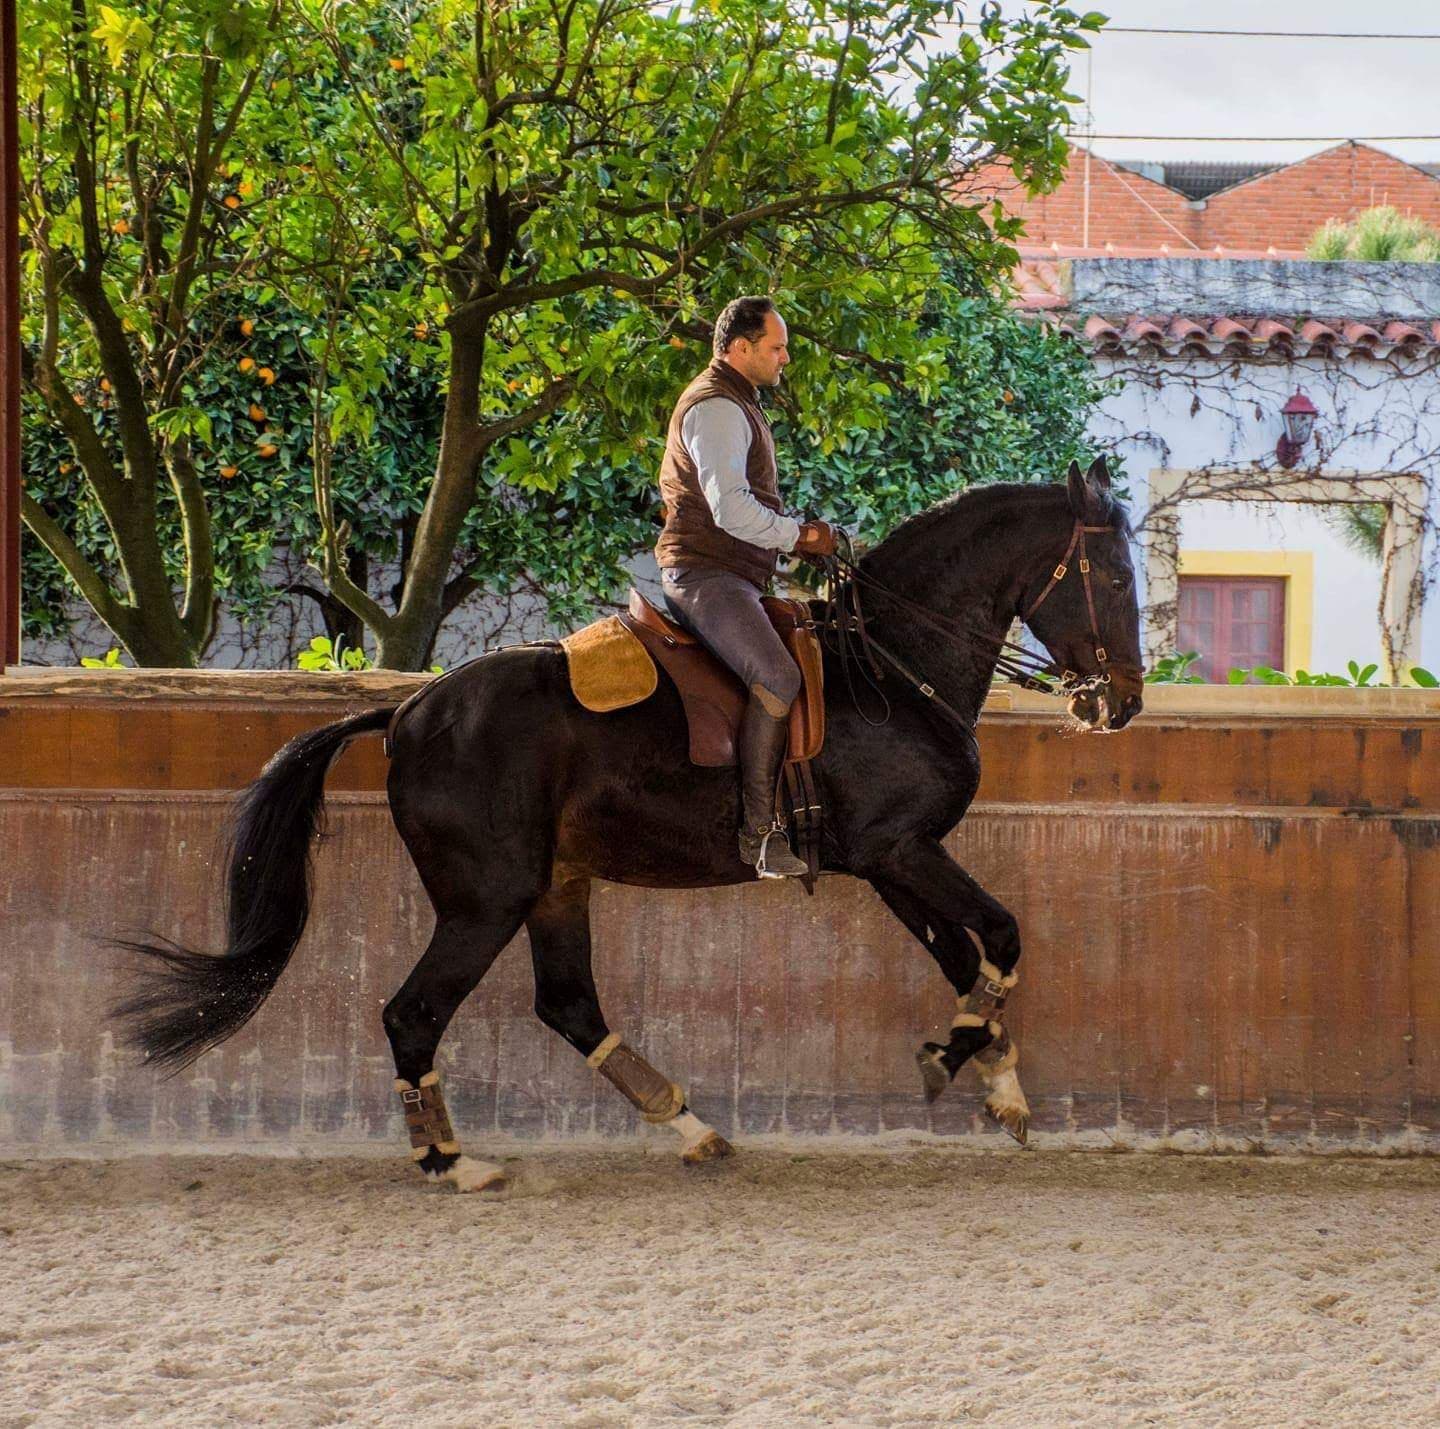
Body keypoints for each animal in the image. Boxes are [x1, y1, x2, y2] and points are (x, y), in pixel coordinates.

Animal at [116, 458, 1144, 1192]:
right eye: (1109, 571)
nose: (1122, 702)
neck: (890, 666)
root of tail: (408, 711)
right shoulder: (902, 848)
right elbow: (1001, 934)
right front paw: (954, 1059)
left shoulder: (894, 860)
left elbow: (969, 958)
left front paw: (995, 1079)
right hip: (486, 900)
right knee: (414, 1012)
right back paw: (452, 1159)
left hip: (556, 888)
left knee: (570, 1005)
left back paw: (690, 1125)